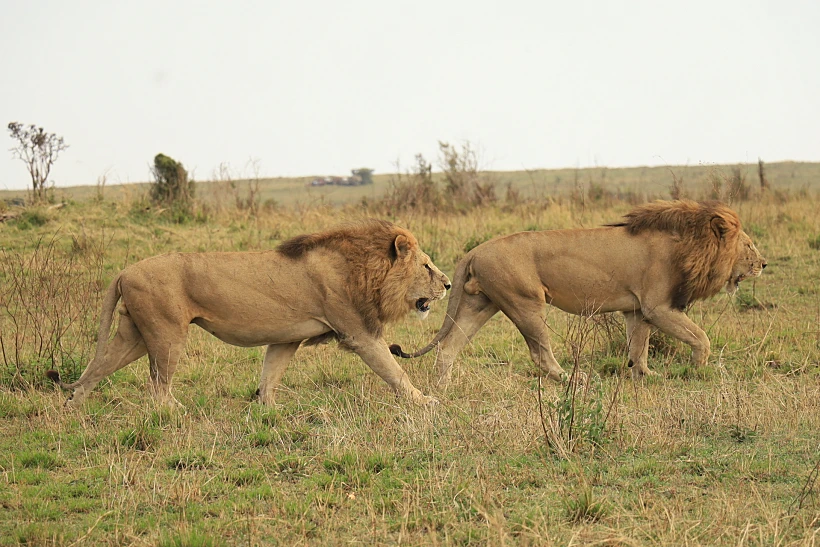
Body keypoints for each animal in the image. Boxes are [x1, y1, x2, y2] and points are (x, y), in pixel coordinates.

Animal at [48, 220, 452, 408]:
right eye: (427, 266)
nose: (448, 285)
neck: (365, 270)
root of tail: (123, 271)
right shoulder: (358, 332)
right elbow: (394, 370)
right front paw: (424, 402)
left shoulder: (287, 338)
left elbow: (270, 373)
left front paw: (267, 409)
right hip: (167, 334)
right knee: (158, 387)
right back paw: (177, 411)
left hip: (134, 334)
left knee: (96, 369)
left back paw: (72, 408)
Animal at [390, 199, 764, 384]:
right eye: (748, 244)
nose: (764, 263)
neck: (689, 244)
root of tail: (475, 251)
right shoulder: (657, 306)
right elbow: (701, 337)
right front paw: (698, 369)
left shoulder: (636, 310)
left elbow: (638, 347)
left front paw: (645, 376)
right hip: (526, 303)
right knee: (540, 353)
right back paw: (571, 378)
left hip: (480, 303)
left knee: (449, 346)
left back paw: (442, 387)